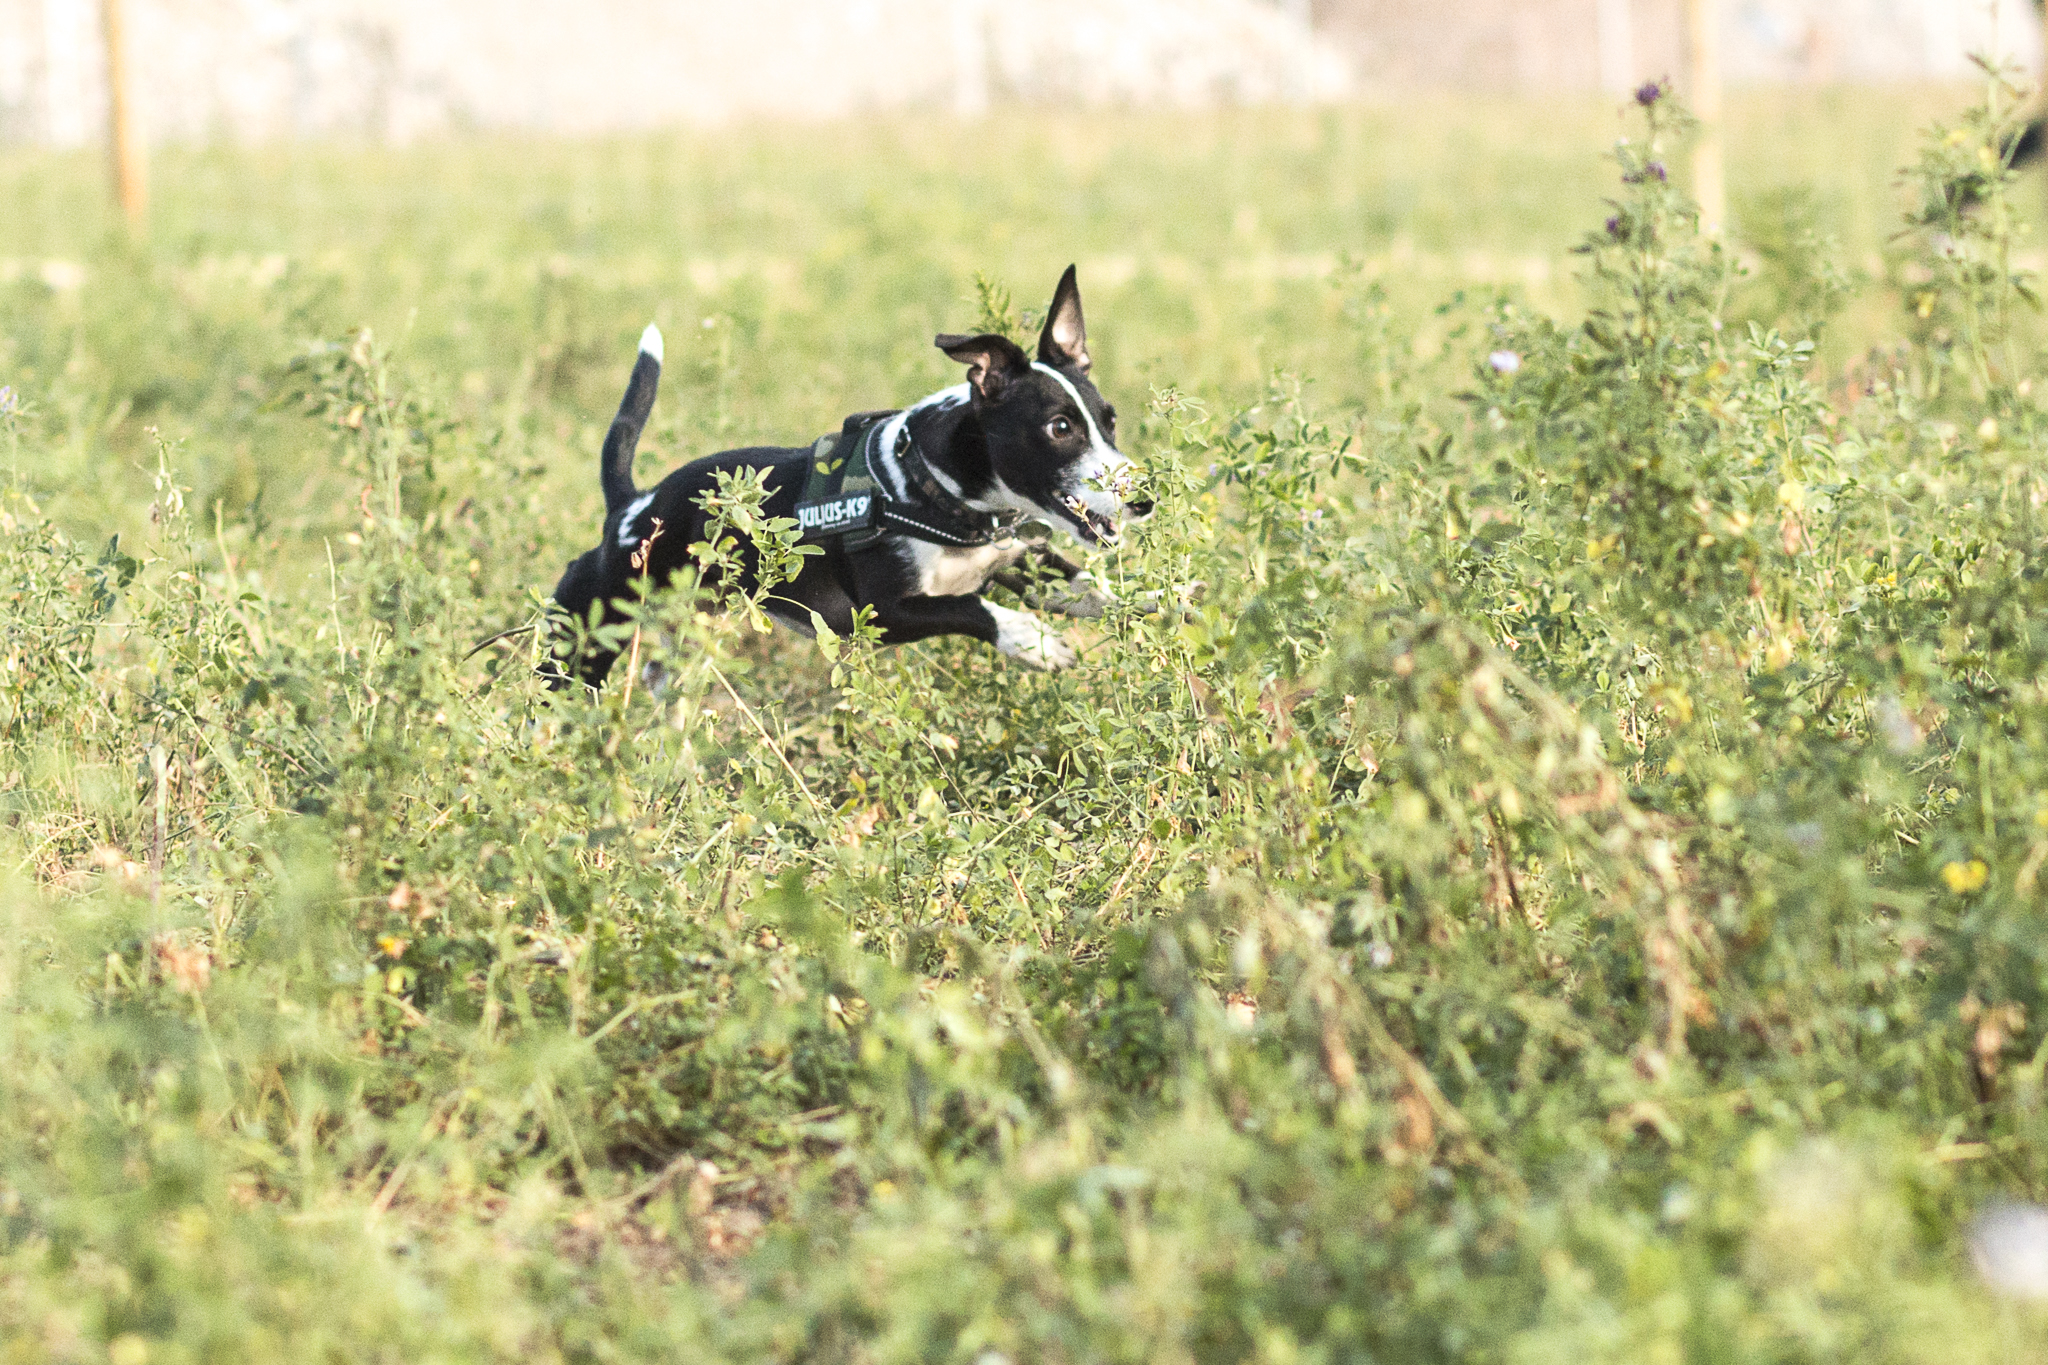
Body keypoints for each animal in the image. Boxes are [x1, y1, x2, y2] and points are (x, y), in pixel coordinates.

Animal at [544, 268, 1155, 687]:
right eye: (1059, 428)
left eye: (1110, 421)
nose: (1144, 499)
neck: (932, 485)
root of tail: (630, 509)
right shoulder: (883, 613)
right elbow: (972, 609)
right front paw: (1031, 639)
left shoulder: (1017, 560)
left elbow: (1089, 587)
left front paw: (1157, 599)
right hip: (583, 643)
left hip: (682, 644)